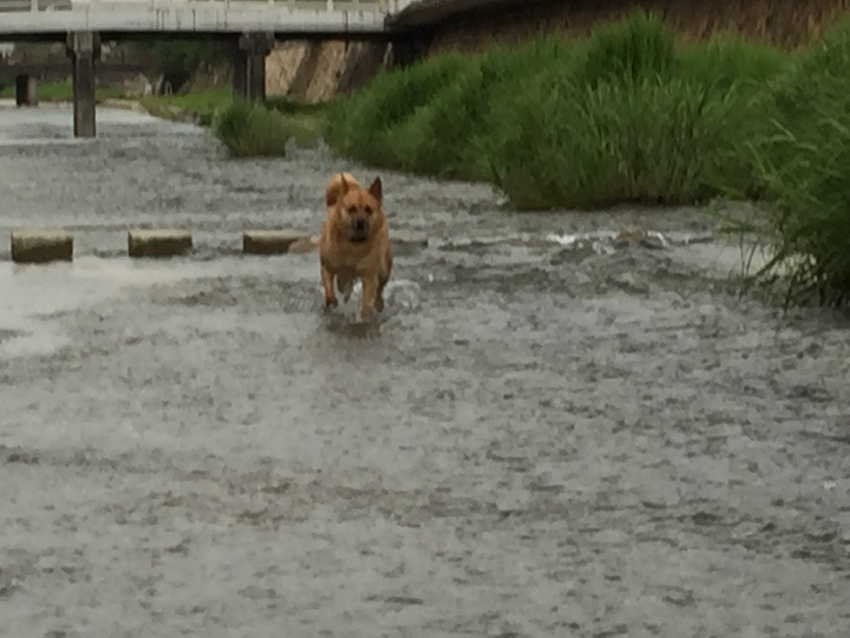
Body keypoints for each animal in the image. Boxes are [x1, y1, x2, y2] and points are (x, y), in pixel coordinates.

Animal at [320, 172, 392, 320]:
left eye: (368, 209)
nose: (360, 222)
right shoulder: (328, 267)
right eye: (351, 209)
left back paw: (378, 303)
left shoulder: (369, 276)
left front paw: (363, 316)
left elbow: (367, 299)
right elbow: (329, 287)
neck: (353, 245)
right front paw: (332, 300)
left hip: (384, 267)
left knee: (379, 288)